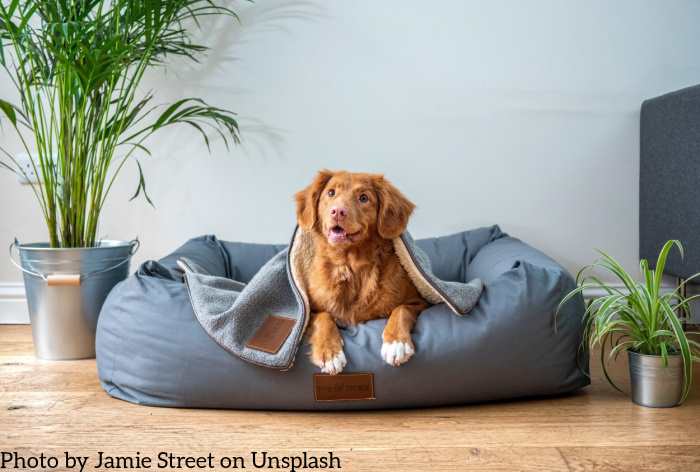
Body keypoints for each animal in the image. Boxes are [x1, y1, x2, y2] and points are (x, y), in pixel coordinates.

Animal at [294, 170, 430, 372]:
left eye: (364, 198)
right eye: (331, 193)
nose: (337, 211)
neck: (351, 265)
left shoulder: (419, 301)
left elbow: (401, 309)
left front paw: (396, 343)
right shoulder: (310, 310)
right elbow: (323, 317)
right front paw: (330, 352)